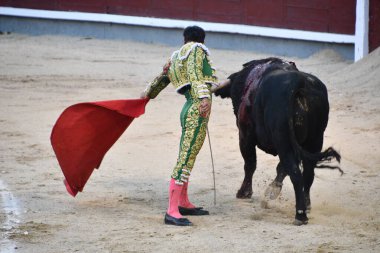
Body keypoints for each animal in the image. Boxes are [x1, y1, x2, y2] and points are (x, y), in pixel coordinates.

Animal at [215, 57, 342, 225]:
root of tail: (300, 82)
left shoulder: (245, 136)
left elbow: (250, 164)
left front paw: (245, 192)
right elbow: (281, 169)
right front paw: (272, 190)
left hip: (284, 141)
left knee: (296, 174)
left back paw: (300, 214)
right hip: (314, 140)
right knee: (308, 173)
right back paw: (306, 205)